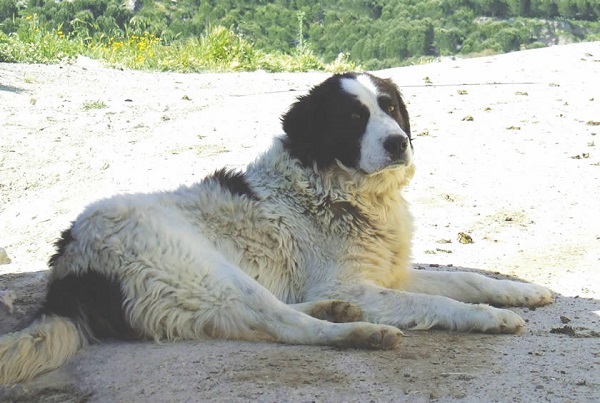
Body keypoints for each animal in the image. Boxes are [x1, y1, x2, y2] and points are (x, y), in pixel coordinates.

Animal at [0, 72, 552, 386]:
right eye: (353, 118)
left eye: (391, 108)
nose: (398, 142)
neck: (336, 190)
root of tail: (67, 270)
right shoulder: (354, 283)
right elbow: (439, 302)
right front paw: (490, 318)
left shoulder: (387, 274)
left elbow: (467, 279)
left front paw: (521, 292)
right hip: (206, 269)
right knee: (285, 325)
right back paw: (363, 332)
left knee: (278, 314)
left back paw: (339, 314)